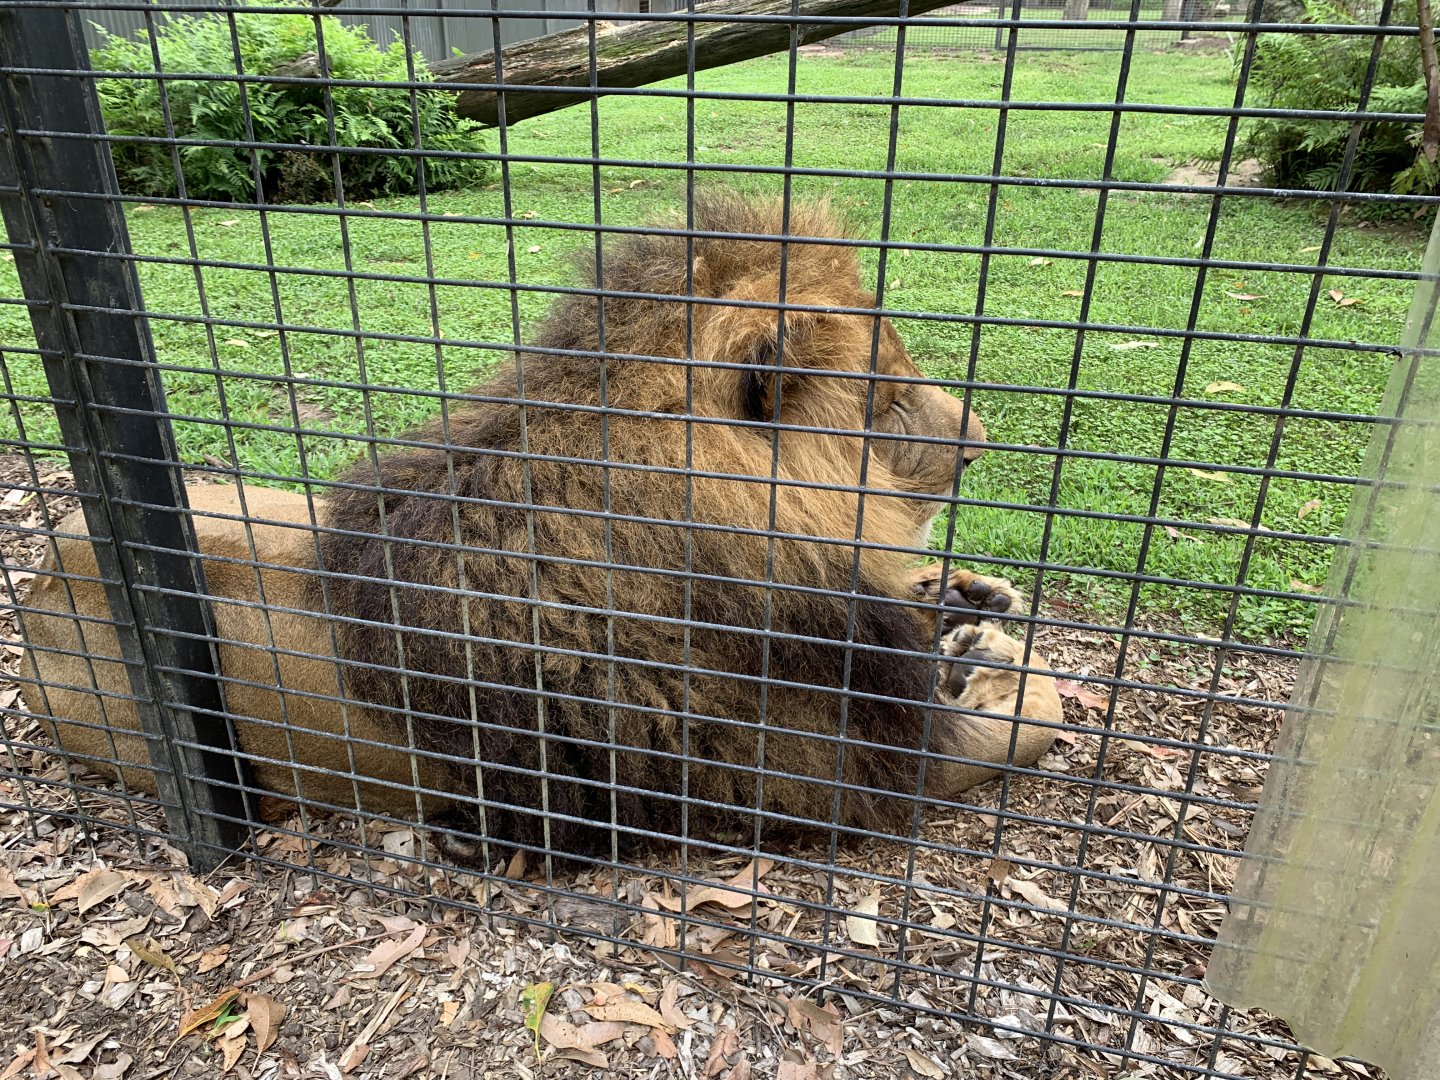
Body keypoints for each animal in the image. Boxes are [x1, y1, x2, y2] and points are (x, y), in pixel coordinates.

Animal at [20, 192, 1060, 860]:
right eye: (889, 397)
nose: (979, 443)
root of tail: (37, 588)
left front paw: (972, 603)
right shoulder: (822, 773)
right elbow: (1030, 719)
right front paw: (997, 663)